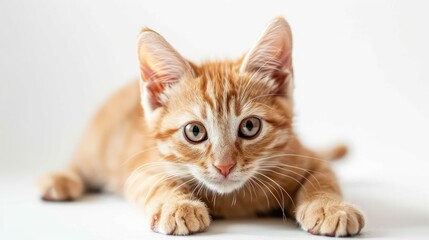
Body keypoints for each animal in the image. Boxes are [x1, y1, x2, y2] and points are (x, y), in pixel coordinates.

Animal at [37, 16, 364, 236]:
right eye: (195, 132)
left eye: (250, 127)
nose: (224, 166)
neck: (234, 198)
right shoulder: (142, 168)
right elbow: (157, 182)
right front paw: (178, 205)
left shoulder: (306, 157)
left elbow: (323, 180)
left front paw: (330, 207)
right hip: (97, 147)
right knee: (81, 164)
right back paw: (60, 178)